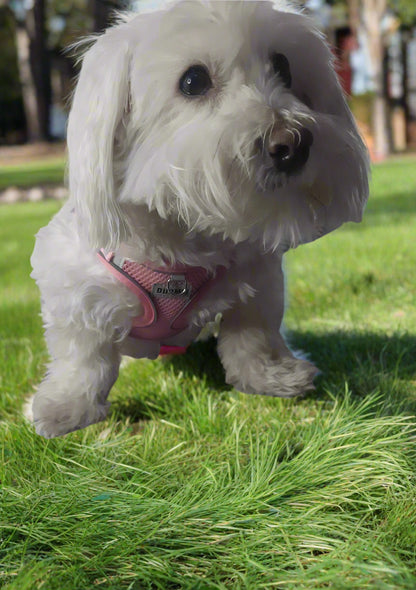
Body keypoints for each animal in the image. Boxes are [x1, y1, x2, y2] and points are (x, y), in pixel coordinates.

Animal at [32, 0, 370, 438]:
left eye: (283, 67)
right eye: (193, 81)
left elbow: (253, 334)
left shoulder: (257, 277)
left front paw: (270, 376)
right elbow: (84, 357)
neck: (180, 234)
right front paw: (67, 408)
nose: (293, 144)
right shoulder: (73, 284)